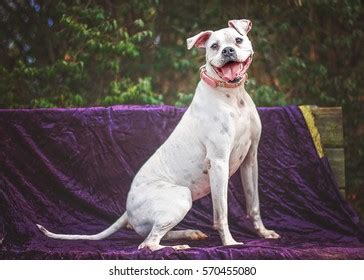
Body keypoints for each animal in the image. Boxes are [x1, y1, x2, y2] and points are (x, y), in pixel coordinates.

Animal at [37, 20, 278, 252]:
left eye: (238, 40)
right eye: (214, 46)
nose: (228, 51)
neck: (232, 95)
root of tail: (127, 210)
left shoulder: (250, 159)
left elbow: (254, 203)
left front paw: (263, 233)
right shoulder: (218, 162)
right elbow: (222, 212)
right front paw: (229, 243)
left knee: (153, 234)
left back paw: (187, 233)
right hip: (181, 196)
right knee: (148, 244)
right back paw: (178, 247)